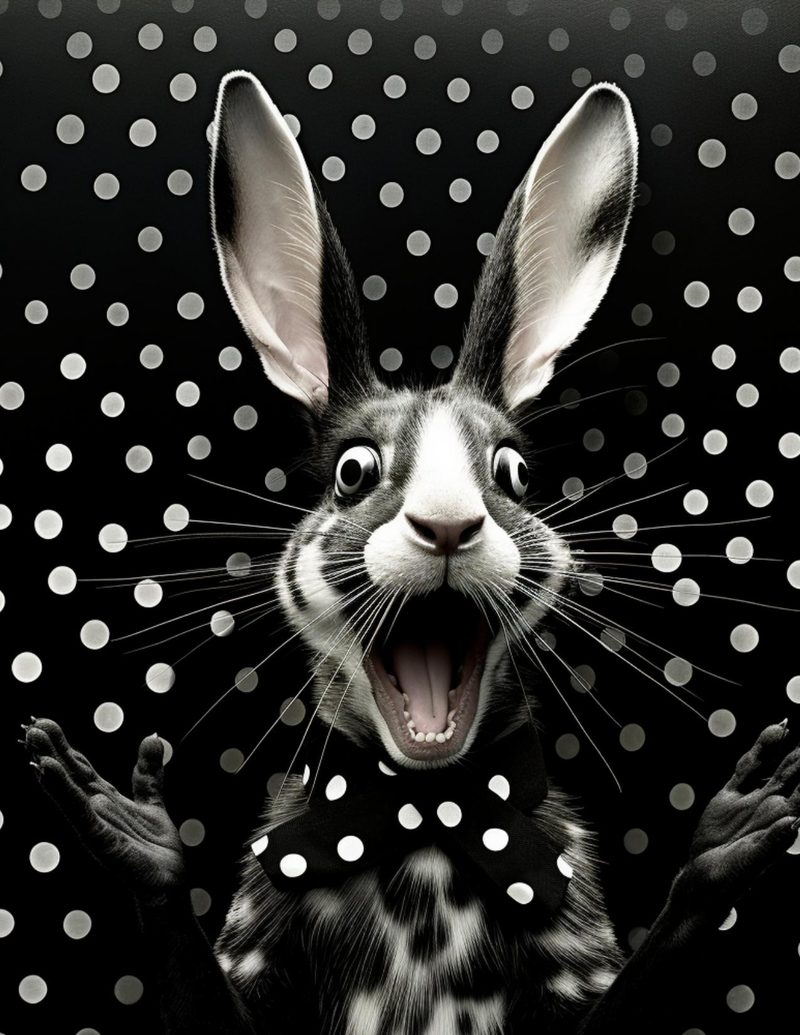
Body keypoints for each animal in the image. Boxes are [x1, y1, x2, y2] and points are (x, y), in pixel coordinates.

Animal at [23, 71, 800, 1035]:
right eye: (353, 471)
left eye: (512, 472)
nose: (448, 522)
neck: (424, 809)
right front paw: (134, 834)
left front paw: (731, 833)